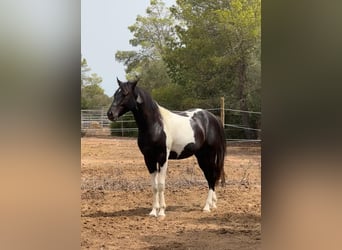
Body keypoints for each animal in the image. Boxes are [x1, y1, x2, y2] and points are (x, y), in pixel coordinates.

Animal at [106, 78, 224, 217]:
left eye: (125, 94)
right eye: (115, 94)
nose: (110, 114)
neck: (156, 125)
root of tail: (213, 118)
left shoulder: (163, 158)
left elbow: (161, 184)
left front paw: (162, 212)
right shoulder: (149, 159)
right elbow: (154, 185)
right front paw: (153, 211)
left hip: (209, 155)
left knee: (211, 177)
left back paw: (207, 207)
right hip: (201, 156)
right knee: (210, 177)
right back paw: (213, 204)